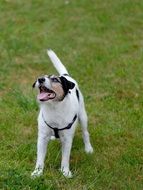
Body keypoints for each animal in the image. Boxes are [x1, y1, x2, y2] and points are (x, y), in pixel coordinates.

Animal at [31, 49, 93, 178]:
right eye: (42, 77)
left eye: (55, 80)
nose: (40, 79)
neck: (54, 107)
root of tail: (65, 76)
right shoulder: (42, 137)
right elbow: (40, 158)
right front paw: (37, 172)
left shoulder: (67, 139)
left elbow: (65, 158)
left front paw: (65, 172)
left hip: (83, 116)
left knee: (85, 133)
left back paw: (88, 148)